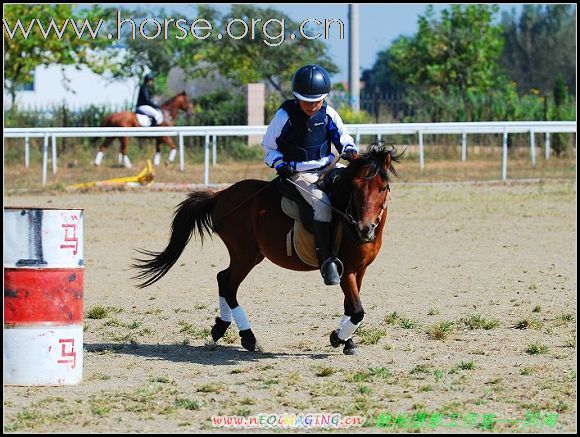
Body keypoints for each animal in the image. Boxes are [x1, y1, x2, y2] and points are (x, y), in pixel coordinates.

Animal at [132, 143, 404, 354]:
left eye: (382, 188)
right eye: (355, 187)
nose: (365, 229)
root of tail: (220, 195)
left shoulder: (360, 269)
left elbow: (351, 306)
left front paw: (347, 340)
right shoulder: (344, 268)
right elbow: (357, 310)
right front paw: (338, 338)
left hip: (248, 255)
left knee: (223, 279)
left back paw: (222, 326)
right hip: (245, 254)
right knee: (228, 284)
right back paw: (247, 336)